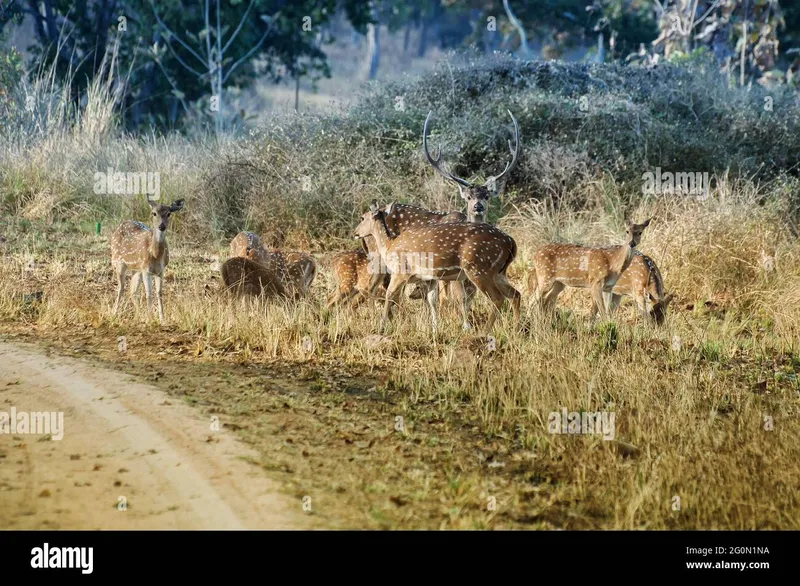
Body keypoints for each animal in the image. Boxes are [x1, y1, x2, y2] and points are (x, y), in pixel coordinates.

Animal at [110, 196, 185, 324]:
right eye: (154, 213)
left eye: (169, 213)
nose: (161, 226)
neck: (155, 254)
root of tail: (120, 225)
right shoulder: (146, 270)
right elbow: (149, 293)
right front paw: (150, 318)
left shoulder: (161, 270)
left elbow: (159, 293)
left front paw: (162, 319)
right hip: (118, 263)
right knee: (121, 288)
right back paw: (114, 314)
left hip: (136, 269)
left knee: (132, 290)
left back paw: (138, 316)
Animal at [354, 202, 520, 334]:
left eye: (362, 217)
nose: (355, 233)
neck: (389, 246)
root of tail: (511, 242)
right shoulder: (430, 278)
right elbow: (432, 300)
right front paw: (435, 329)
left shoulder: (400, 271)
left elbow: (389, 295)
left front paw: (381, 328)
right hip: (499, 272)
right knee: (515, 294)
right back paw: (517, 329)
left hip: (478, 268)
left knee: (498, 298)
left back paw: (484, 331)